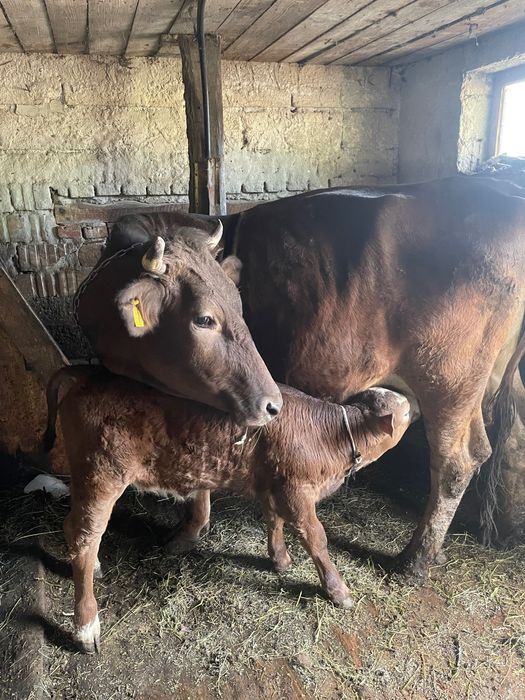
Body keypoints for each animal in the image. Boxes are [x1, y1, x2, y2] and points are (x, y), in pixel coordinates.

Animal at [44, 366, 415, 653]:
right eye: (407, 411)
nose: (418, 408)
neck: (331, 438)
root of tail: (88, 372)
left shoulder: (274, 484)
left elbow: (273, 521)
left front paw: (280, 560)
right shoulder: (296, 490)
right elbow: (316, 539)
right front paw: (338, 591)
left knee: (72, 527)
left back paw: (94, 569)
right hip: (103, 473)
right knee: (85, 535)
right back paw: (86, 626)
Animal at [76, 175, 525, 581]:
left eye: (236, 303)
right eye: (205, 317)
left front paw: (188, 531)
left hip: (448, 380)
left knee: (456, 462)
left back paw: (414, 561)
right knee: (506, 443)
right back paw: (496, 533)